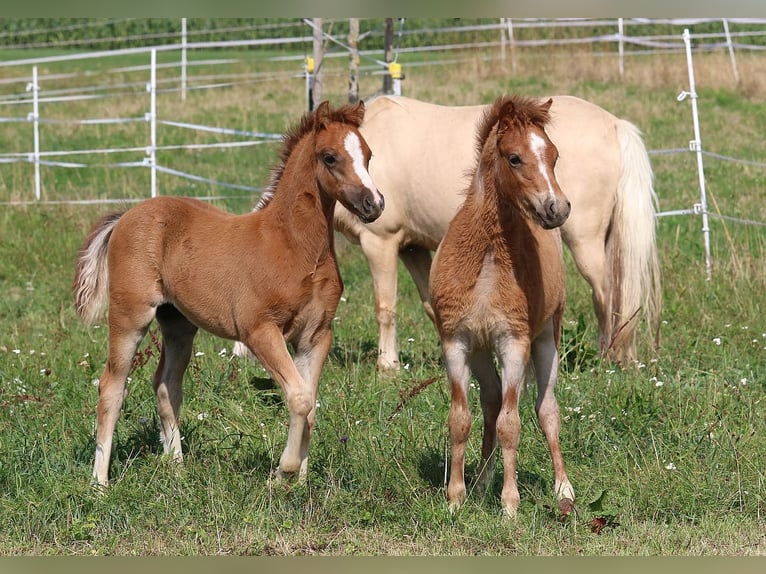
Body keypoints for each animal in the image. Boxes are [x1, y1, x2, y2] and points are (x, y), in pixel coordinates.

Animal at [72, 101, 384, 488]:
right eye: (329, 157)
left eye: (368, 154)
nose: (374, 204)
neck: (295, 247)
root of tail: (126, 215)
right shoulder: (260, 331)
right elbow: (299, 398)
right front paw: (283, 473)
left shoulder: (316, 336)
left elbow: (310, 402)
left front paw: (300, 480)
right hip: (131, 316)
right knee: (112, 388)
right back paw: (100, 483)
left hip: (178, 324)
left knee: (166, 384)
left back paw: (178, 468)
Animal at [332, 94, 664, 374]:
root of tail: (614, 124)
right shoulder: (413, 249)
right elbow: (431, 306)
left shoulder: (380, 242)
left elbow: (385, 307)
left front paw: (388, 366)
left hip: (585, 242)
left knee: (606, 296)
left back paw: (607, 359)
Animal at [432, 94, 576, 516]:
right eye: (514, 158)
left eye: (554, 155)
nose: (558, 208)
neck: (488, 258)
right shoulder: (456, 342)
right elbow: (460, 419)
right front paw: (455, 498)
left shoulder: (514, 343)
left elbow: (512, 424)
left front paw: (510, 505)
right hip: (481, 352)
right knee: (492, 402)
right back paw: (481, 484)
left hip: (546, 341)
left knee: (547, 410)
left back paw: (563, 490)